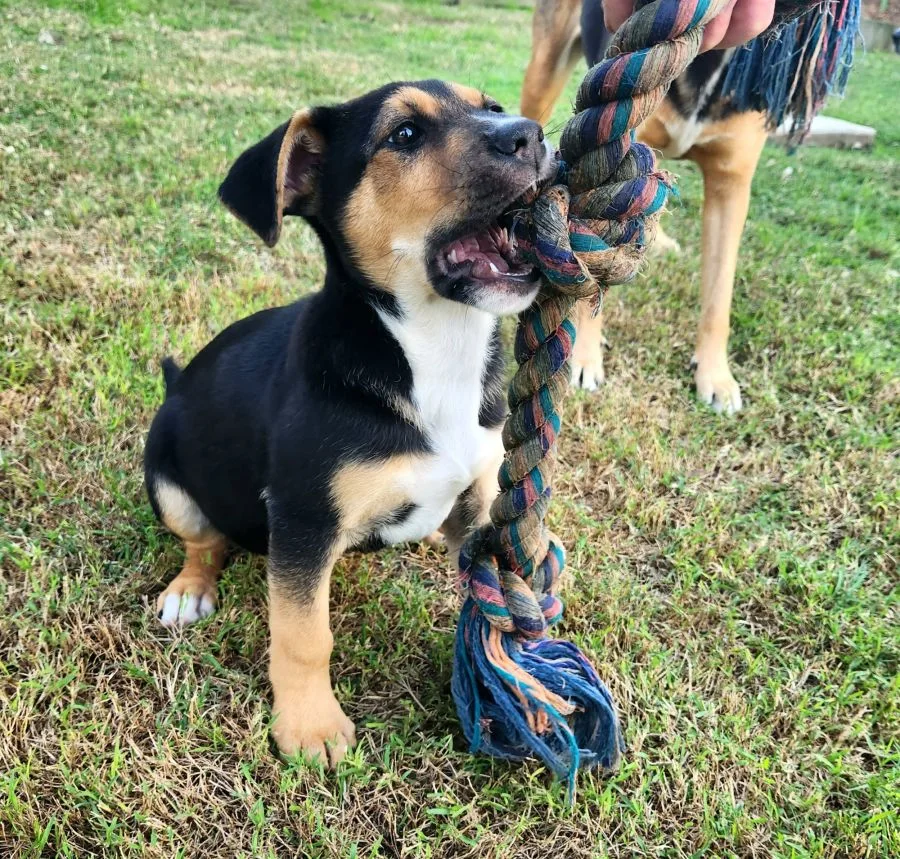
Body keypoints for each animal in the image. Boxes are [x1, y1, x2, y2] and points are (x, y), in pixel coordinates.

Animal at [145, 82, 556, 764]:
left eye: (492, 107)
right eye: (404, 135)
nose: (531, 135)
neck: (432, 351)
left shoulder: (477, 498)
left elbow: (487, 597)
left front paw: (519, 686)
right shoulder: (303, 519)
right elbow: (304, 635)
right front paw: (310, 727)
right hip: (167, 478)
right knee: (203, 540)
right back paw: (189, 589)